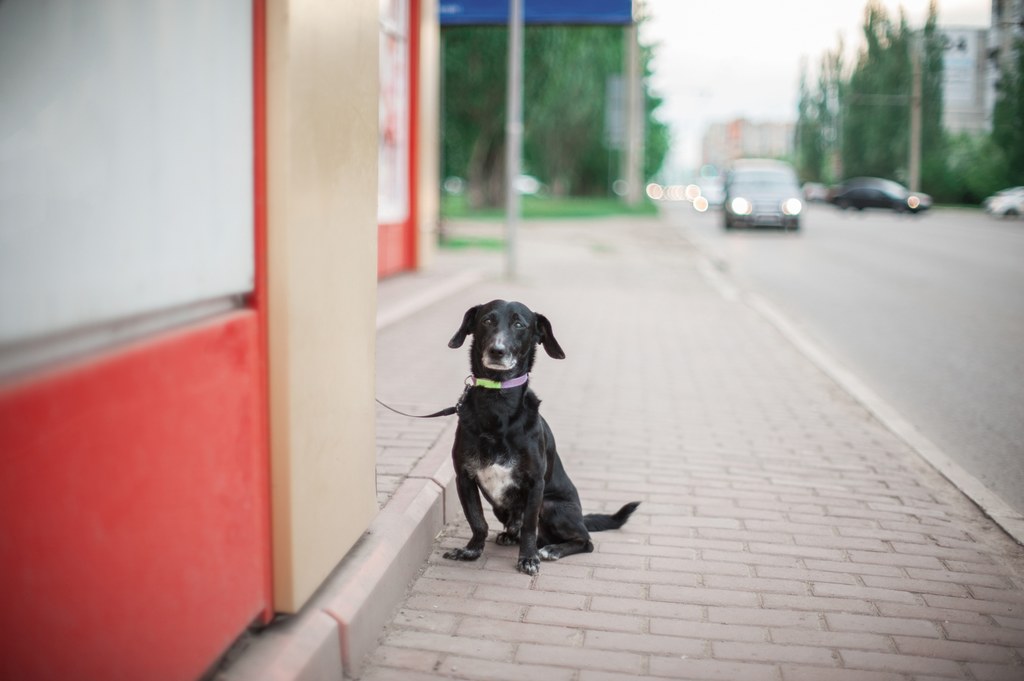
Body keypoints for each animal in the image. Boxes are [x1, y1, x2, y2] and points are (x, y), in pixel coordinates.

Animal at [442, 301, 634, 569]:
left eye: (519, 324)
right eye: (487, 321)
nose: (497, 351)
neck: (497, 402)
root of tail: (581, 517)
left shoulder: (536, 484)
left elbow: (529, 527)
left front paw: (528, 559)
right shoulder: (465, 478)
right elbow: (477, 521)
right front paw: (471, 551)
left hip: (552, 505)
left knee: (585, 541)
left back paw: (552, 549)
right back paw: (510, 537)